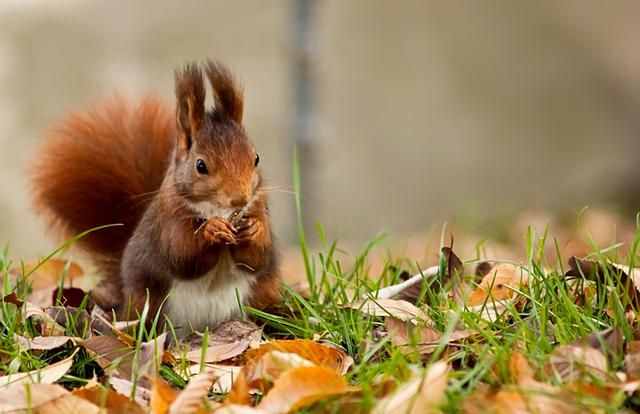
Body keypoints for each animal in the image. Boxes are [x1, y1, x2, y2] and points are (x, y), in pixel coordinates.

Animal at [30, 60, 280, 334]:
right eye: (201, 166)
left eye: (256, 158)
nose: (240, 199)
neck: (216, 210)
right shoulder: (168, 221)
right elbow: (181, 255)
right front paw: (211, 230)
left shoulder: (260, 207)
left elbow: (257, 259)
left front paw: (254, 230)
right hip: (149, 303)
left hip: (261, 294)